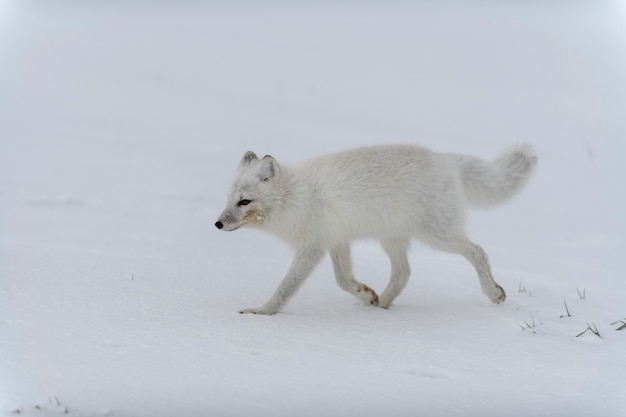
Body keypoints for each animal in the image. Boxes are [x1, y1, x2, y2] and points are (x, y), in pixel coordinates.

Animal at [216, 145, 536, 314]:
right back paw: (380, 305)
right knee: (403, 273)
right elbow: (343, 280)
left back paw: (494, 293)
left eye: (245, 201)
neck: (297, 197)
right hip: (392, 239)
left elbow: (286, 287)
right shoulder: (336, 241)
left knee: (478, 252)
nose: (217, 223)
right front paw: (366, 294)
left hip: (438, 236)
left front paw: (262, 311)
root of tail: (446, 159)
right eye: (229, 198)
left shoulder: (312, 248)